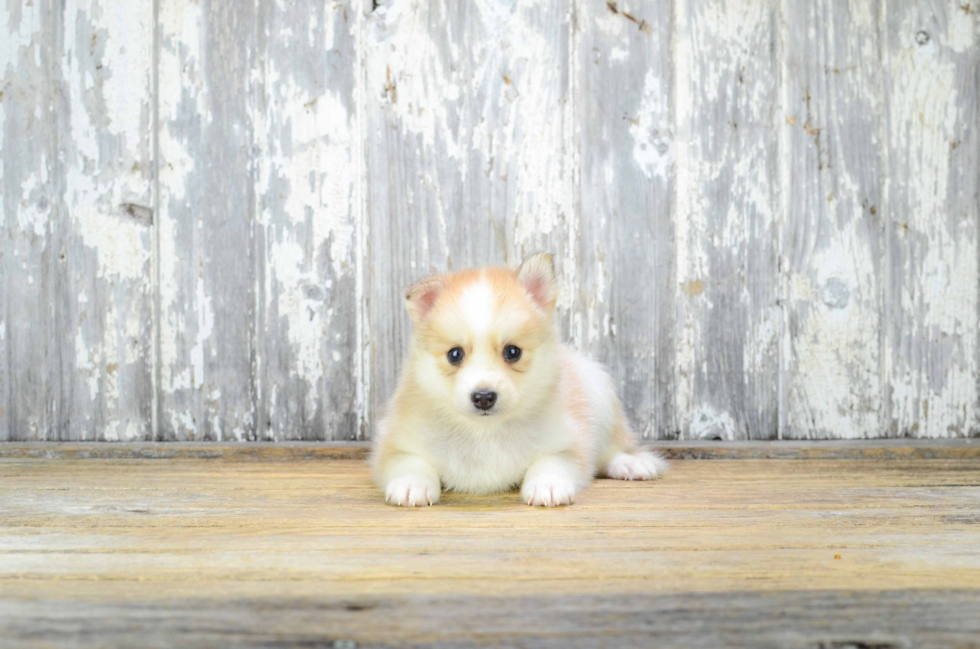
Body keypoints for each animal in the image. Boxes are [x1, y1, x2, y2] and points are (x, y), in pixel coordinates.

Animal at [370, 252, 668, 506]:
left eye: (512, 352)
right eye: (455, 354)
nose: (484, 397)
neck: (484, 433)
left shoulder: (567, 442)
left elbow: (550, 462)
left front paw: (548, 485)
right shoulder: (395, 443)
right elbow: (412, 463)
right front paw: (412, 485)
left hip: (599, 394)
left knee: (613, 448)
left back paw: (630, 464)